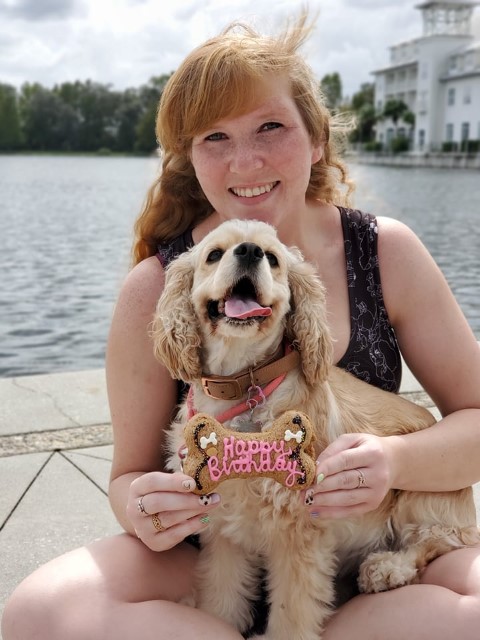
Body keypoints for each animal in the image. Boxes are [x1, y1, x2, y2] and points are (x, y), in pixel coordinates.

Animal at [151, 219, 479, 640]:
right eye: (213, 255)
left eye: (273, 258)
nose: (249, 252)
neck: (241, 386)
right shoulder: (224, 531)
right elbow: (222, 597)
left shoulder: (300, 531)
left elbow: (292, 612)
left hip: (423, 495)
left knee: (439, 539)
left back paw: (387, 568)